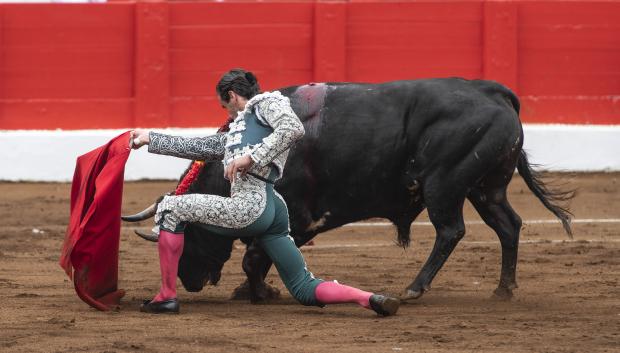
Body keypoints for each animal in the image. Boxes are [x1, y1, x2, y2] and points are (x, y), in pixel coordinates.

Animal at [122, 78, 572, 302]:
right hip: (485, 186)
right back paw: (504, 289)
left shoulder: (297, 219)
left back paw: (414, 288)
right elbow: (258, 257)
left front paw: (259, 293)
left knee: (451, 231)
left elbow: (254, 259)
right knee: (508, 225)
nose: (189, 281)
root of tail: (495, 92)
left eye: (193, 234)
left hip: (445, 185)